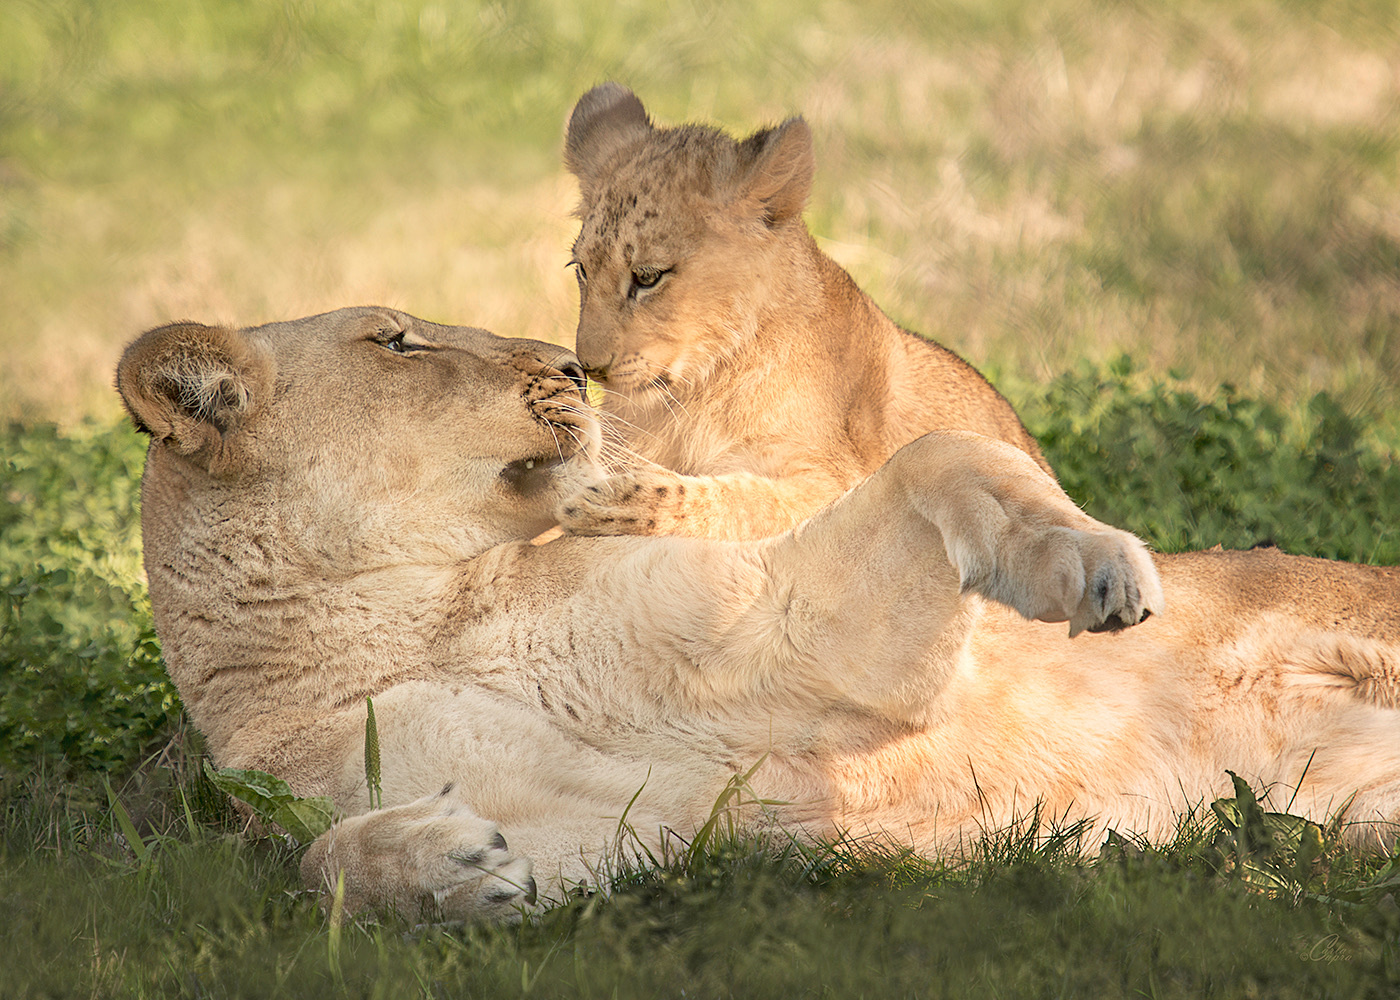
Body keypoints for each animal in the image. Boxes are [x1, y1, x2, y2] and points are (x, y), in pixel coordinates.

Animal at [118, 306, 1400, 922]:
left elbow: (938, 454)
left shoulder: (804, 639)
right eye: (395, 340)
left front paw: (1086, 565)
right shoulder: (621, 837)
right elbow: (314, 863)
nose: (574, 371)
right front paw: (449, 869)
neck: (407, 610)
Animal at [558, 83, 1051, 540]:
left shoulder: (840, 481)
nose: (589, 367)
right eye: (581, 269)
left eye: (648, 277)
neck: (695, 393)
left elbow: (746, 500)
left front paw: (615, 498)